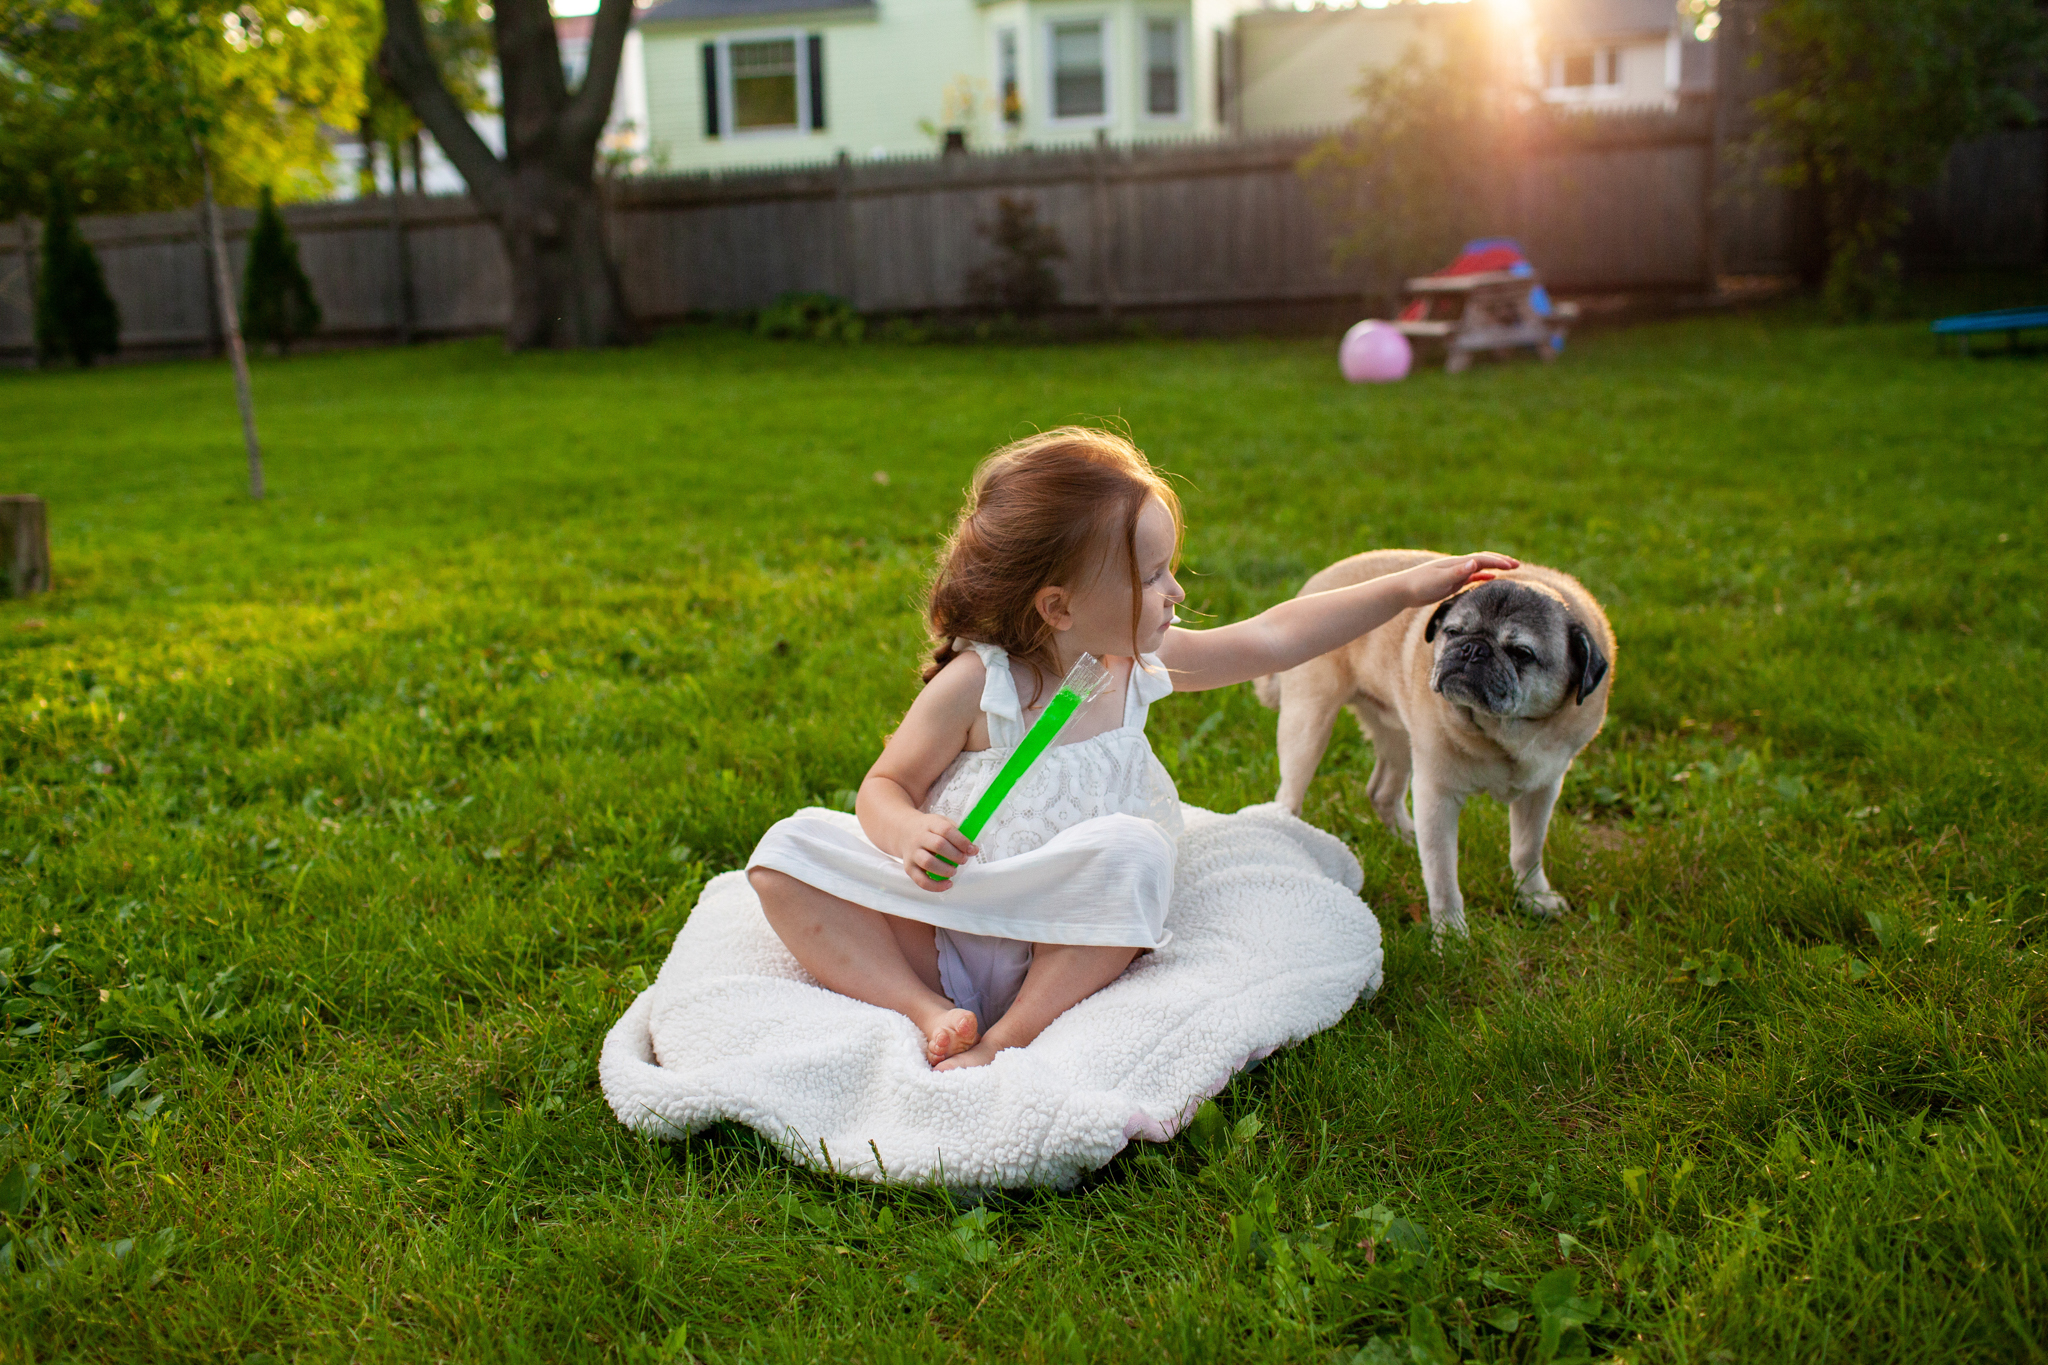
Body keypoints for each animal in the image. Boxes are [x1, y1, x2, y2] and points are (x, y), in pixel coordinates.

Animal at [1253, 548, 1605, 933]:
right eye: (1452, 632)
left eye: (1521, 653)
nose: (1472, 649)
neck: (1499, 734)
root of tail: (1312, 587)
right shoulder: (1437, 796)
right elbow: (1442, 875)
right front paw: (1450, 933)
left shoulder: (1542, 788)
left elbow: (1527, 849)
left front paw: (1535, 899)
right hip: (1309, 724)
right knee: (1290, 795)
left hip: (1400, 740)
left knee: (1382, 793)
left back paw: (1406, 840)